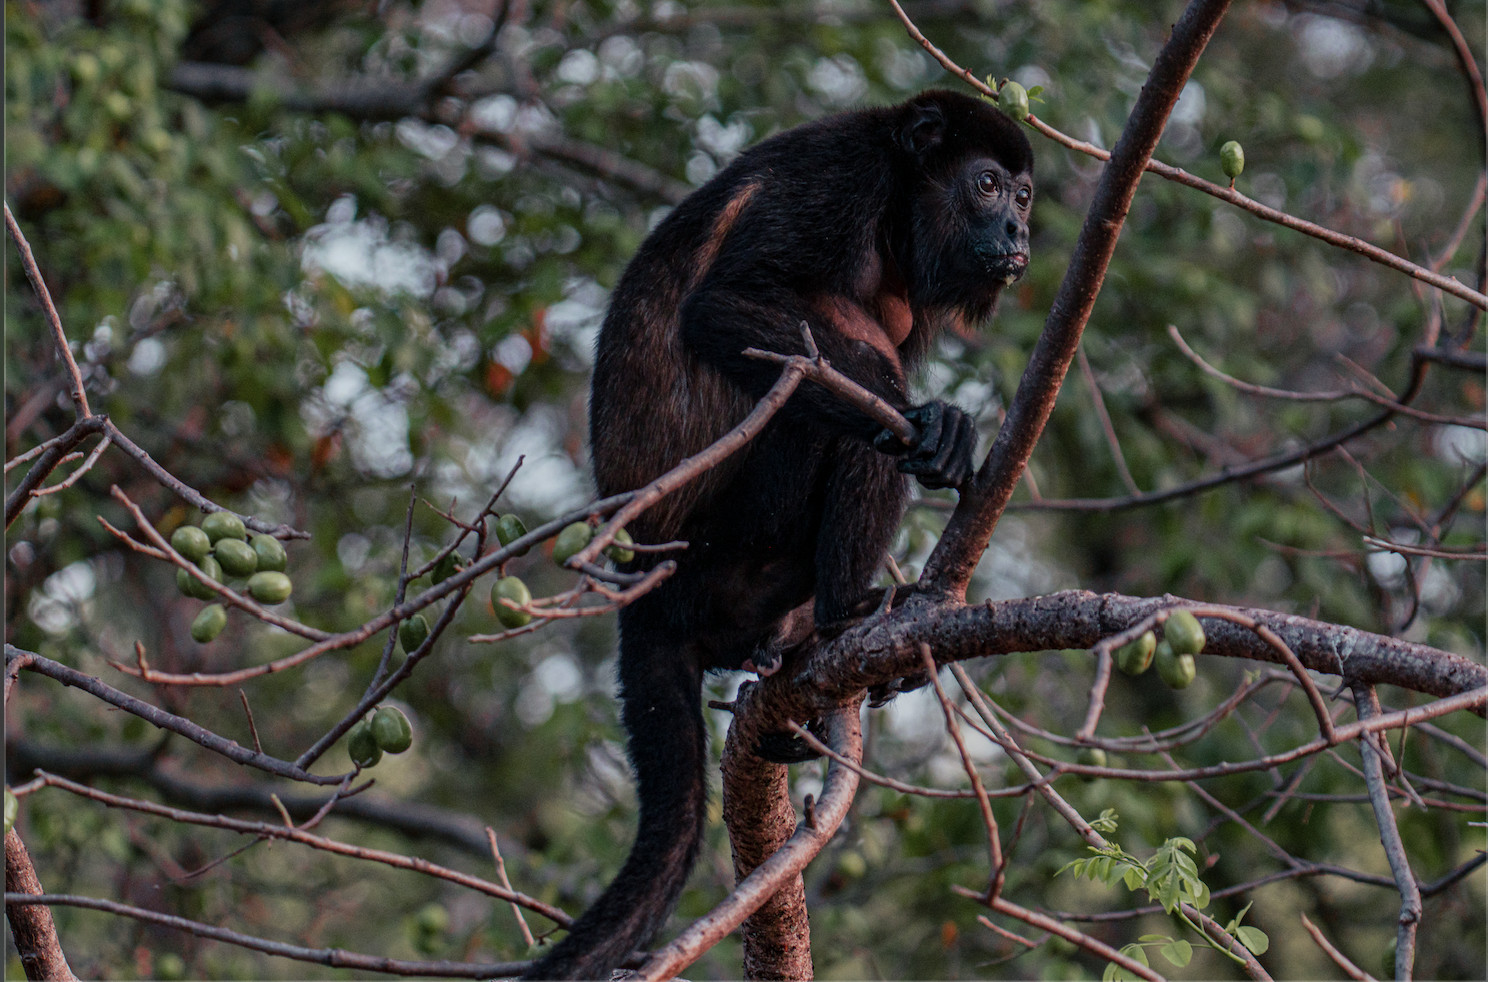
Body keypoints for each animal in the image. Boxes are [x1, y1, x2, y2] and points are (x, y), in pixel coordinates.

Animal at [523, 89, 1033, 980]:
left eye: (1026, 196)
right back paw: (847, 610)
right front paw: (934, 419)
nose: (1018, 232)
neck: (898, 215)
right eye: (987, 184)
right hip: (727, 558)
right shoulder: (838, 179)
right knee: (835, 418)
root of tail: (641, 588)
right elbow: (724, 306)